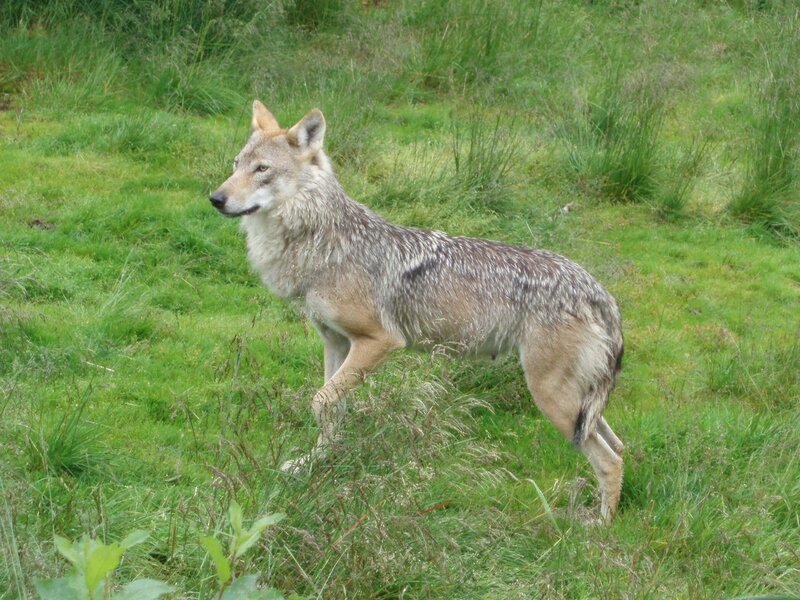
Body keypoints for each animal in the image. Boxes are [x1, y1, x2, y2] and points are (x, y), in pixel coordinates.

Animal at [210, 101, 625, 523]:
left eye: (262, 169)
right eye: (236, 164)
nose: (215, 198)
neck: (321, 242)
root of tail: (600, 292)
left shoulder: (379, 341)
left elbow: (319, 401)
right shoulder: (336, 344)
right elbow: (331, 407)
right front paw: (317, 462)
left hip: (553, 398)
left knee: (611, 460)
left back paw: (598, 526)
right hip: (578, 404)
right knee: (620, 445)